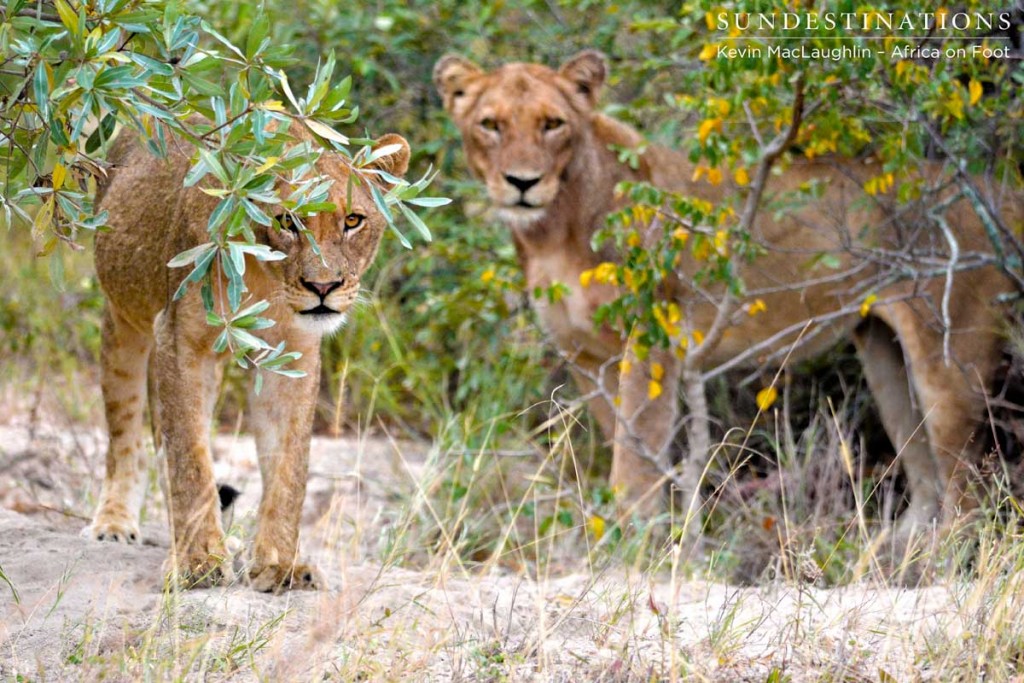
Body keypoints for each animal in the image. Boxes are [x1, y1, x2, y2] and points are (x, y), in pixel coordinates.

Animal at [84, 120, 411, 589]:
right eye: (287, 220)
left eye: (353, 220)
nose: (323, 287)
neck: (265, 277)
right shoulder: (179, 341)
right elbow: (190, 459)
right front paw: (198, 562)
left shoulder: (295, 357)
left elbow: (289, 467)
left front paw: (279, 564)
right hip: (123, 321)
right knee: (126, 432)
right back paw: (114, 523)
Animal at [434, 50, 1024, 536]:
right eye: (490, 125)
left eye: (552, 124)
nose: (522, 183)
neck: (554, 233)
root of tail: (998, 189)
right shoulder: (584, 356)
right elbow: (621, 444)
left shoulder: (652, 338)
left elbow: (635, 458)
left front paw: (635, 548)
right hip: (884, 353)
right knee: (924, 477)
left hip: (952, 357)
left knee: (967, 490)